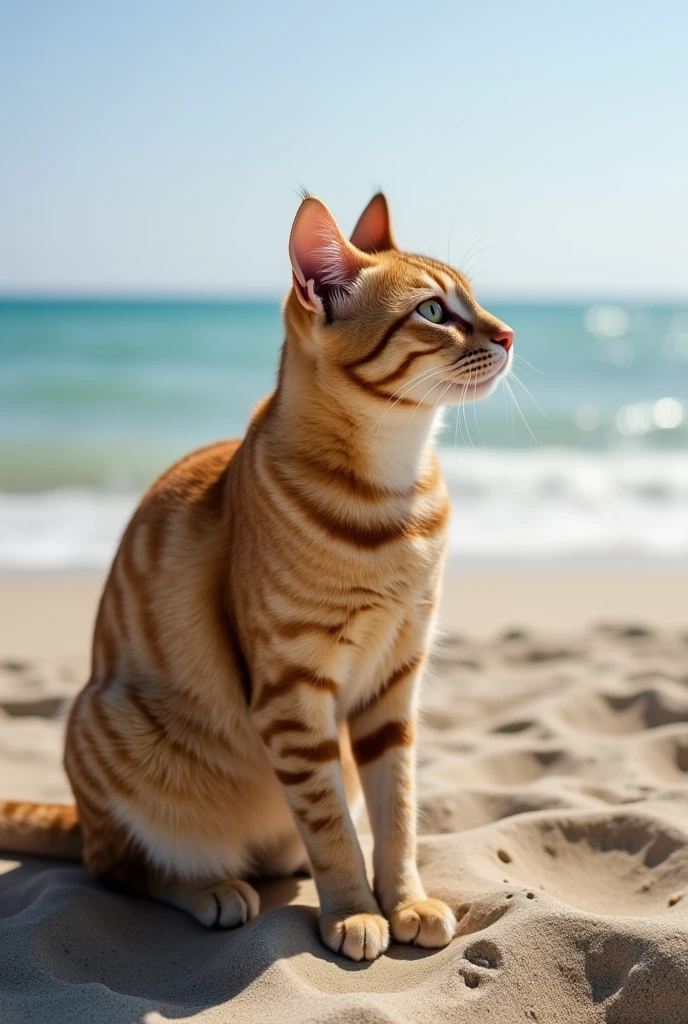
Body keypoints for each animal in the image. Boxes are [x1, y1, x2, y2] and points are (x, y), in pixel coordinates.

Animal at [0, 193, 513, 958]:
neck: (393, 495)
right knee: (120, 866)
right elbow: (330, 824)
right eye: (433, 311)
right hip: (110, 725)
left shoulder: (395, 683)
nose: (509, 334)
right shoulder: (291, 692)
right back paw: (212, 888)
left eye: (475, 301)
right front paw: (354, 910)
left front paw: (404, 900)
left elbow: (397, 813)